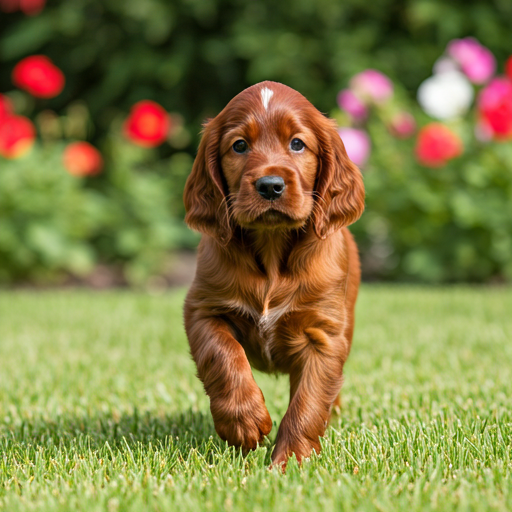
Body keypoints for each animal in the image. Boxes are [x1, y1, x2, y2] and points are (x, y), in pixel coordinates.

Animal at [183, 81, 364, 468]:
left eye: (297, 143)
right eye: (239, 145)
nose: (269, 185)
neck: (271, 248)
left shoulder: (324, 335)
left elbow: (309, 402)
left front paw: (290, 461)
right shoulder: (203, 310)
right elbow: (222, 356)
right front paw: (245, 422)